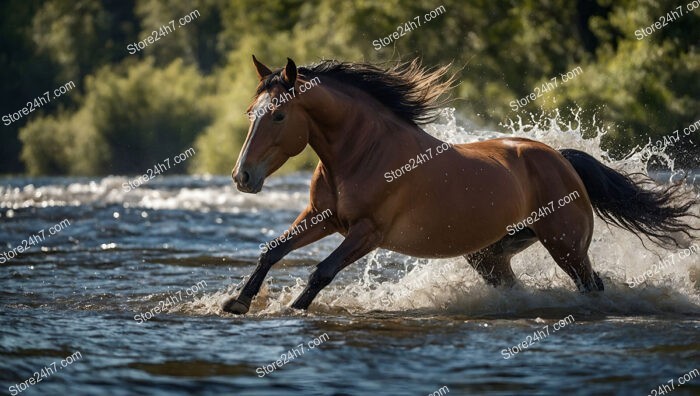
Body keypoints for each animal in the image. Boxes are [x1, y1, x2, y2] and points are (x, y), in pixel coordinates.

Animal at [221, 56, 696, 316]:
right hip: (489, 254)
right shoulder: (322, 218)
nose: (242, 177)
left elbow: (322, 271)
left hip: (566, 246)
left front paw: (291, 308)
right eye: (249, 112)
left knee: (591, 283)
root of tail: (563, 160)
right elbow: (272, 251)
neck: (363, 152)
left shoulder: (367, 232)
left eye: (279, 115)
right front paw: (237, 303)